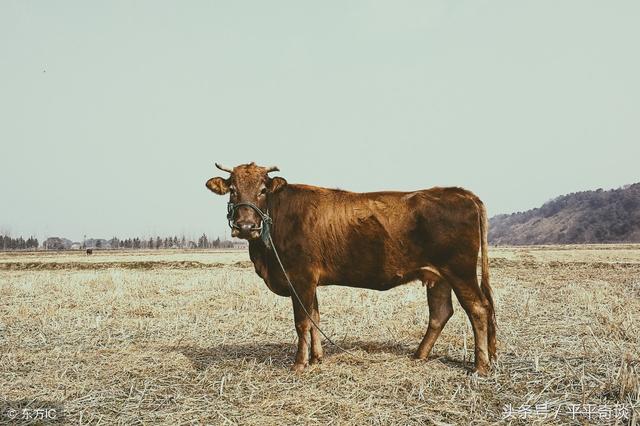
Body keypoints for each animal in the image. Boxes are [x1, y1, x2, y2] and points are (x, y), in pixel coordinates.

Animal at [208, 161, 498, 374]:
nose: (246, 226)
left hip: (460, 271)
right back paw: (419, 355)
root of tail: (459, 192)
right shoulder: (310, 282)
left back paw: (480, 366)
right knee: (440, 313)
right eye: (233, 189)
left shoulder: (300, 278)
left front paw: (300, 363)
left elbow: (302, 322)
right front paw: (317, 358)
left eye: (263, 190)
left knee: (478, 309)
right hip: (438, 277)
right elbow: (315, 318)